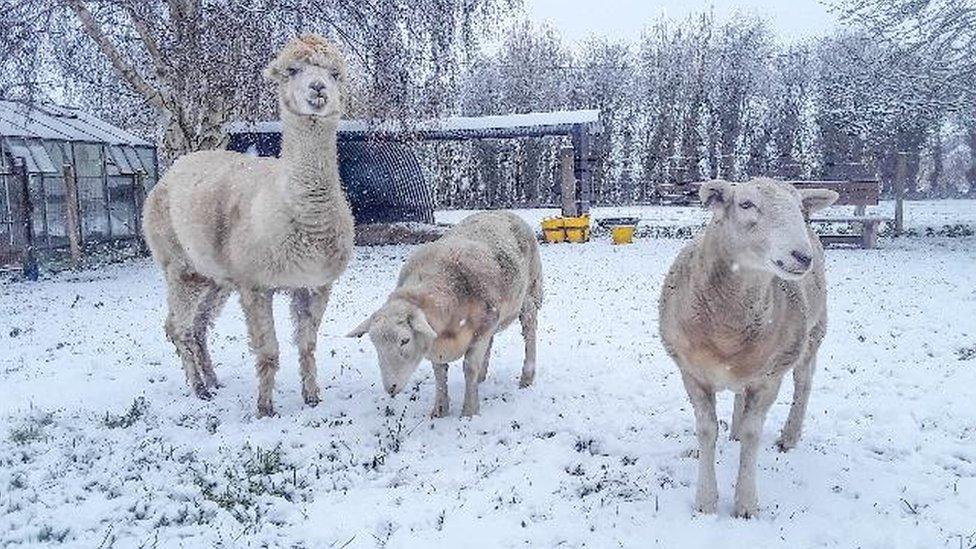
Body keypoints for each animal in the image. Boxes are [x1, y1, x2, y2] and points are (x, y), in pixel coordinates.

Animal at [143, 35, 356, 416]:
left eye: (335, 73)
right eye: (292, 70)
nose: (318, 89)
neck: (306, 221)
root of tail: (169, 173)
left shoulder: (315, 283)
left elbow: (307, 346)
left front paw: (312, 398)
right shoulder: (256, 284)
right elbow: (269, 351)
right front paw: (265, 408)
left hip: (214, 276)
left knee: (198, 326)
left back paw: (213, 380)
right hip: (177, 262)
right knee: (178, 326)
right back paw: (199, 389)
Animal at [348, 210, 548, 416]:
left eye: (405, 340)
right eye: (374, 343)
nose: (391, 388)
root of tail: (503, 211)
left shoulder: (480, 331)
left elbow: (469, 368)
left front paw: (469, 411)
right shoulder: (436, 341)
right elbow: (439, 372)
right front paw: (440, 409)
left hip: (530, 294)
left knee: (529, 333)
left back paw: (526, 377)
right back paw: (482, 377)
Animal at [664, 178, 840, 516]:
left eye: (799, 208)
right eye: (746, 204)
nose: (802, 256)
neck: (727, 331)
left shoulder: (769, 378)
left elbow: (752, 434)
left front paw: (746, 503)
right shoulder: (692, 373)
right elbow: (707, 430)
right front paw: (706, 501)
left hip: (814, 333)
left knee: (804, 383)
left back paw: (789, 436)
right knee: (739, 395)